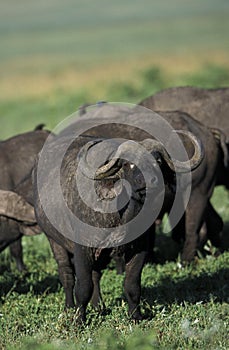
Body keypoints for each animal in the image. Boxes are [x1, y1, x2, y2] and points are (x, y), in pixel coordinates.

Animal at [32, 108, 202, 320]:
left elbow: (132, 285)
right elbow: (83, 287)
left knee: (96, 275)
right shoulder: (82, 249)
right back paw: (69, 307)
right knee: (67, 275)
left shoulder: (139, 248)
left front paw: (135, 316)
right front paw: (79, 319)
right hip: (55, 241)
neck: (122, 217)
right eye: (129, 164)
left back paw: (98, 306)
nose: (151, 182)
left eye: (158, 160)